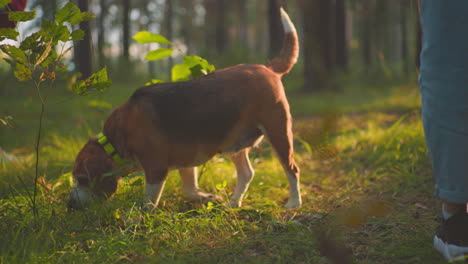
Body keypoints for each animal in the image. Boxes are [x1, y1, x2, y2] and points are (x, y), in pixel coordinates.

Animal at [67, 7, 302, 210]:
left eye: (83, 179)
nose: (70, 205)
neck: (115, 139)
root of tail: (267, 68)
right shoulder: (186, 160)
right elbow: (189, 189)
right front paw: (207, 197)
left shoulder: (156, 168)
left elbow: (148, 201)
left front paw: (138, 218)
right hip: (235, 142)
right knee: (246, 173)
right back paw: (234, 202)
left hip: (278, 131)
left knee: (292, 169)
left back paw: (294, 203)